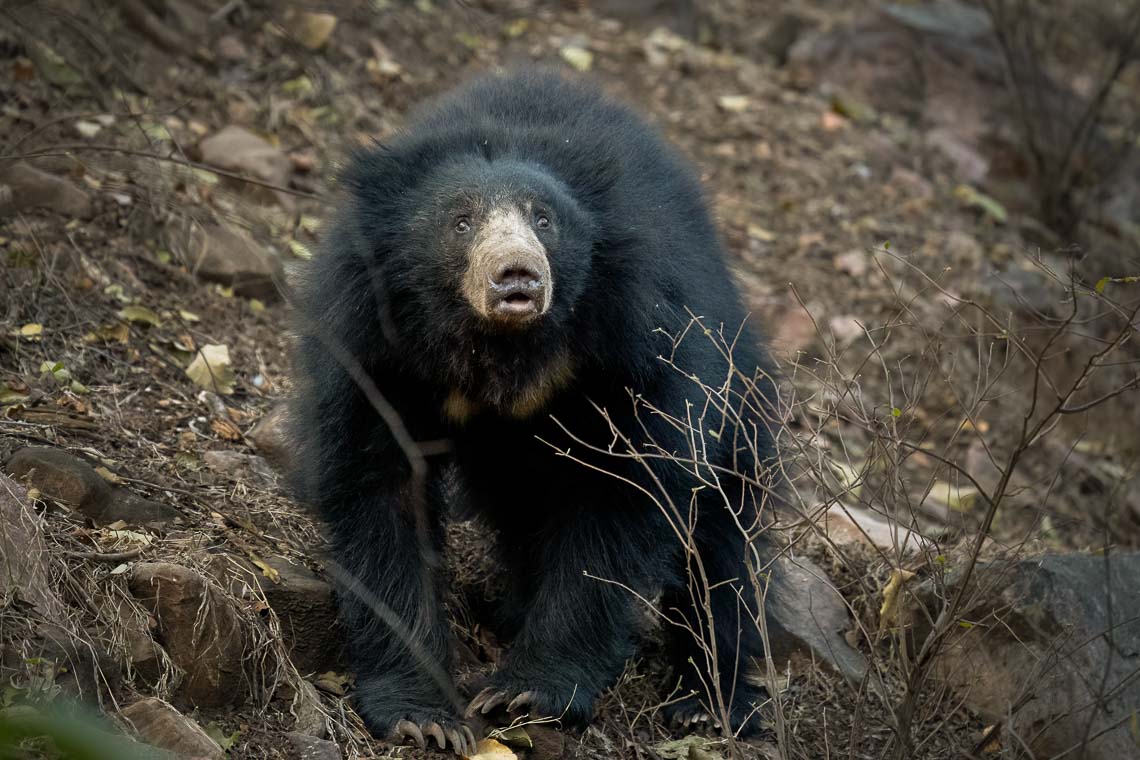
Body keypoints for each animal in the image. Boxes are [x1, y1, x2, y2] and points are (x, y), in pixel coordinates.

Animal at [289, 66, 784, 756]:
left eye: (544, 219)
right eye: (461, 221)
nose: (516, 274)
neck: (505, 348)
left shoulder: (640, 341)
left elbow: (624, 496)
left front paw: (526, 691)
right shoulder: (373, 347)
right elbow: (379, 494)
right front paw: (424, 716)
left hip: (735, 393)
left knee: (721, 542)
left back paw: (708, 702)